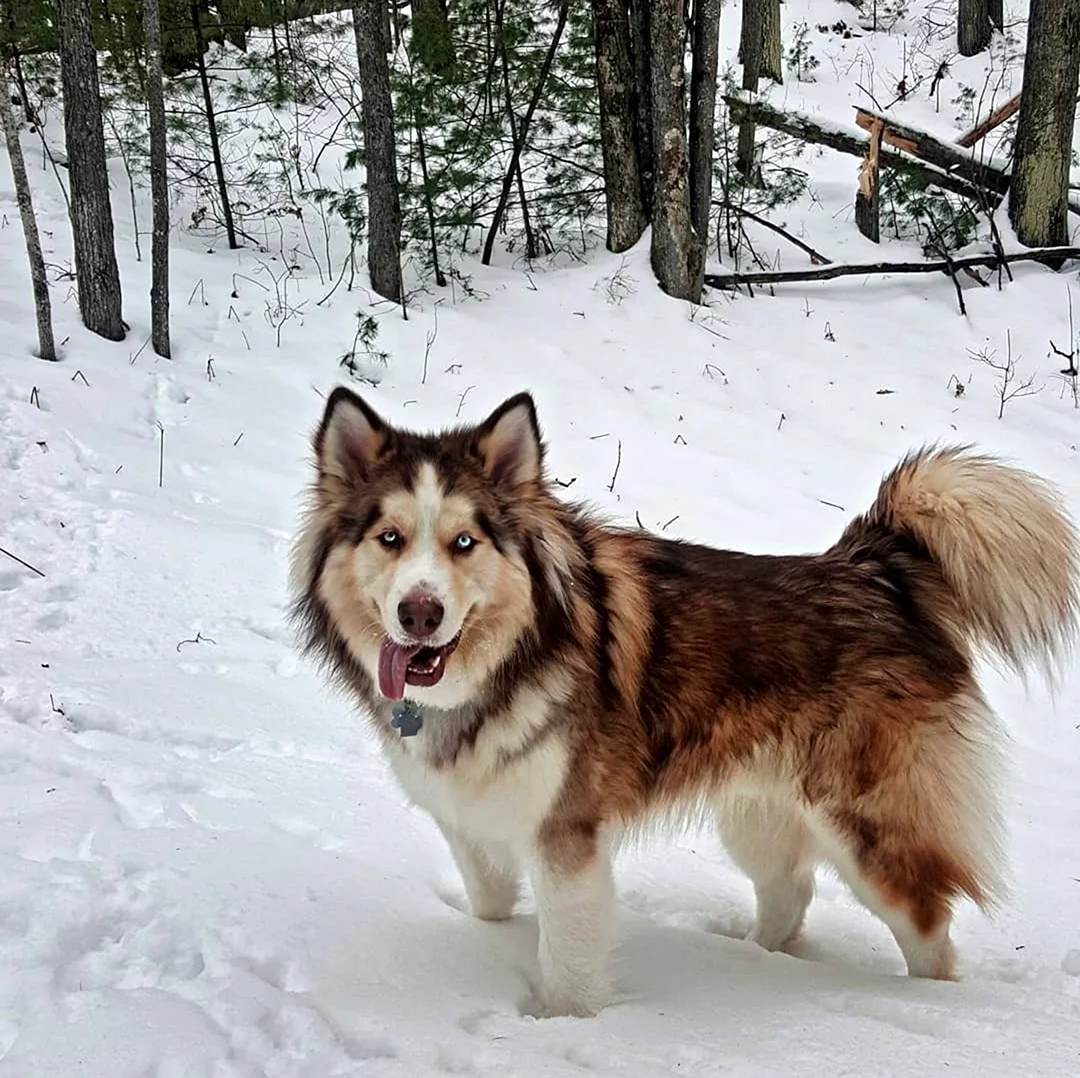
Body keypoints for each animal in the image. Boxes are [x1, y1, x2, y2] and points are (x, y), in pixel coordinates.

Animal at [289, 391, 1080, 1019]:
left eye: (464, 542)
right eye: (390, 539)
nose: (419, 613)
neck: (503, 666)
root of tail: (873, 567)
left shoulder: (566, 836)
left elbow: (569, 964)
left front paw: (556, 1030)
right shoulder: (472, 823)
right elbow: (490, 909)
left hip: (868, 828)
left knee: (928, 930)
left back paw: (929, 1008)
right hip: (758, 810)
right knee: (790, 891)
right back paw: (754, 962)